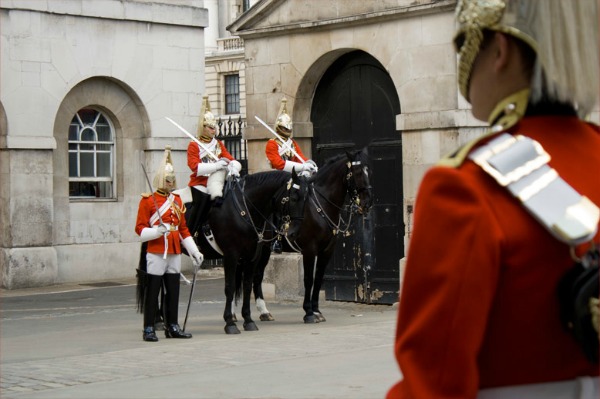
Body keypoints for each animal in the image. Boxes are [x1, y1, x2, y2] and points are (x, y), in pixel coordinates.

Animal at [251, 148, 372, 324]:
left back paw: (264, 312)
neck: (320, 207)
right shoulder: (309, 249)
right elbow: (308, 279)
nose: (367, 203)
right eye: (357, 172)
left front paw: (316, 310)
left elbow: (318, 278)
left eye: (368, 171)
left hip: (265, 249)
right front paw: (308, 312)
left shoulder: (326, 251)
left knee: (257, 274)